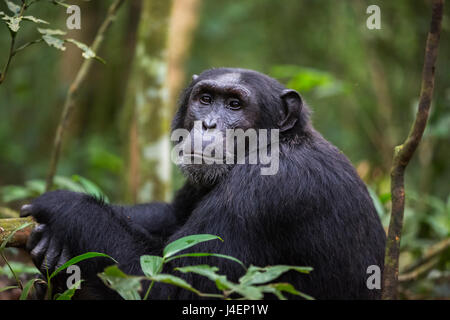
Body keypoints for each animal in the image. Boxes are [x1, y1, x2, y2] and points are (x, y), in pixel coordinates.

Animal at [20, 67, 386, 300]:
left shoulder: (262, 192)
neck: (275, 143)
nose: (208, 124)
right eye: (206, 99)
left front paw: (64, 205)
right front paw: (49, 244)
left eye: (235, 104)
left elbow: (171, 284)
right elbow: (171, 215)